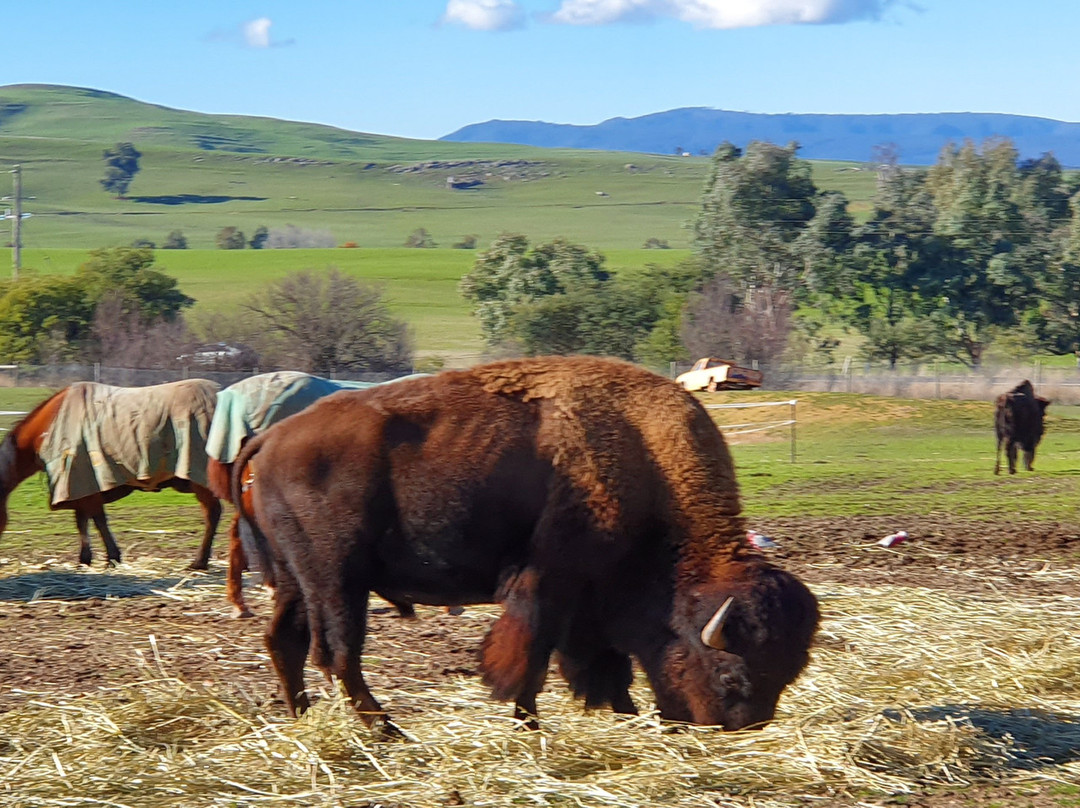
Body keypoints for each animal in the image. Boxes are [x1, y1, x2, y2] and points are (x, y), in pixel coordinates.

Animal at [0, 380, 221, 566]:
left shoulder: (86, 483)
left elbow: (98, 521)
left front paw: (111, 557)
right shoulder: (80, 487)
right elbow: (83, 521)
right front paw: (86, 559)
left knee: (212, 515)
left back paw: (199, 562)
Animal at [230, 356, 816, 734]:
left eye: (787, 673)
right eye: (731, 672)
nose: (736, 728)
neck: (644, 458)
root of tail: (269, 439)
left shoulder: (587, 600)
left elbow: (600, 663)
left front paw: (620, 713)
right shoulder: (549, 583)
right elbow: (533, 658)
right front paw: (530, 724)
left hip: (296, 581)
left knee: (285, 640)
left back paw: (302, 716)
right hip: (336, 580)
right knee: (338, 651)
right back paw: (385, 730)